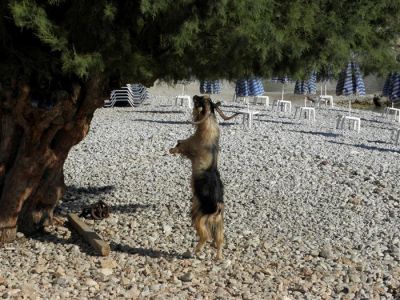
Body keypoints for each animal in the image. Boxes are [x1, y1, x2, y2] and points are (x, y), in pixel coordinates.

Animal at [169, 95, 238, 258]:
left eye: (200, 101)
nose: (195, 96)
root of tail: (218, 207)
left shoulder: (189, 145)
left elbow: (180, 145)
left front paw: (171, 150)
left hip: (199, 218)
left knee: (205, 236)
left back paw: (194, 251)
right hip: (219, 224)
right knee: (219, 239)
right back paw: (219, 257)